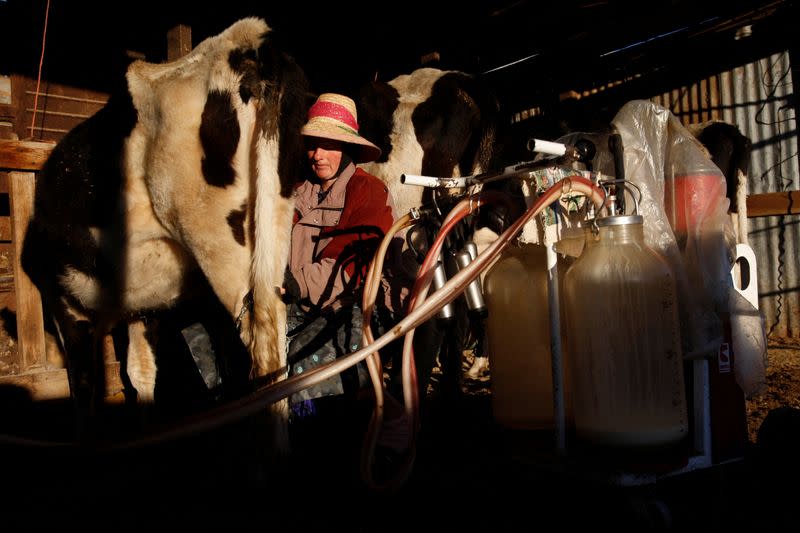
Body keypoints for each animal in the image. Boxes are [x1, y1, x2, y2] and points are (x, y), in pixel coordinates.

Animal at [21, 17, 310, 448]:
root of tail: (250, 37)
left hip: (216, 240)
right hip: (271, 220)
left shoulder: (63, 300)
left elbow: (84, 388)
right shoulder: (146, 305)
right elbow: (140, 373)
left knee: (260, 343)